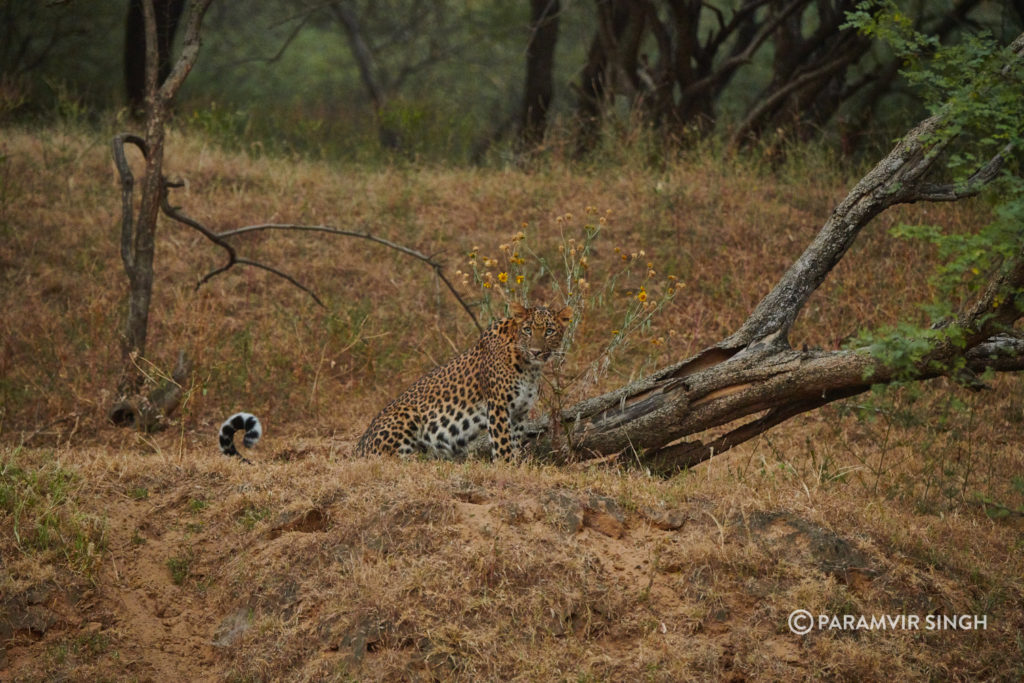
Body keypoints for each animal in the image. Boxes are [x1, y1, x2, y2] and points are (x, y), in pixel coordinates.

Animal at [356, 303, 573, 458]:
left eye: (549, 331)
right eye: (528, 330)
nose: (536, 351)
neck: (529, 367)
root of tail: (358, 449)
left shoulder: (519, 412)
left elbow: (515, 442)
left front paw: (517, 464)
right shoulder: (498, 406)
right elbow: (503, 443)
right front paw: (507, 465)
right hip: (406, 415)